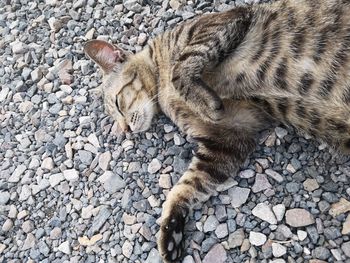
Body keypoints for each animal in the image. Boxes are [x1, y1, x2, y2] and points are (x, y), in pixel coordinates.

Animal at [82, 1, 350, 262]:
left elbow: (181, 67)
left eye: (118, 104)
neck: (161, 86)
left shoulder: (219, 23)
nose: (125, 129)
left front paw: (203, 101)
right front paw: (171, 229)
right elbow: (188, 185)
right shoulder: (229, 135)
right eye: (116, 120)